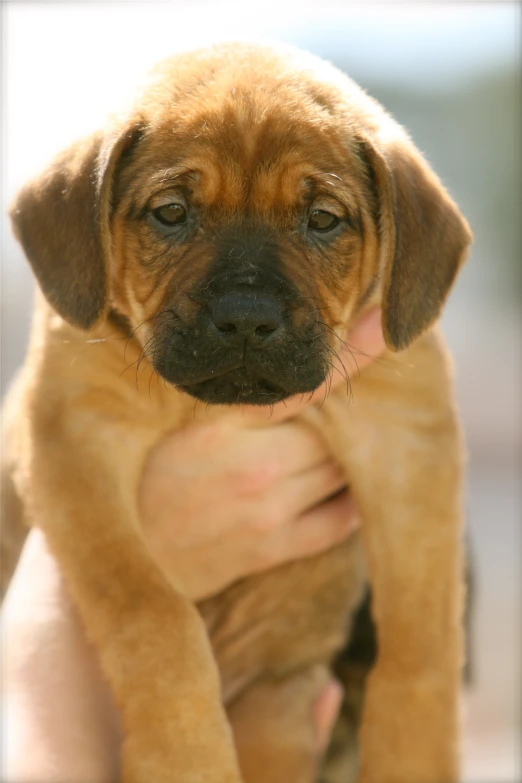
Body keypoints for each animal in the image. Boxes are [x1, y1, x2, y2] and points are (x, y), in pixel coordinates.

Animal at [2, 43, 470, 783]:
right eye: (171, 212)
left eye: (323, 220)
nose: (247, 318)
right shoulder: (73, 436)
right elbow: (151, 611)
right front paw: (184, 756)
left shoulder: (406, 444)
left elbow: (421, 644)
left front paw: (413, 758)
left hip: (276, 707)